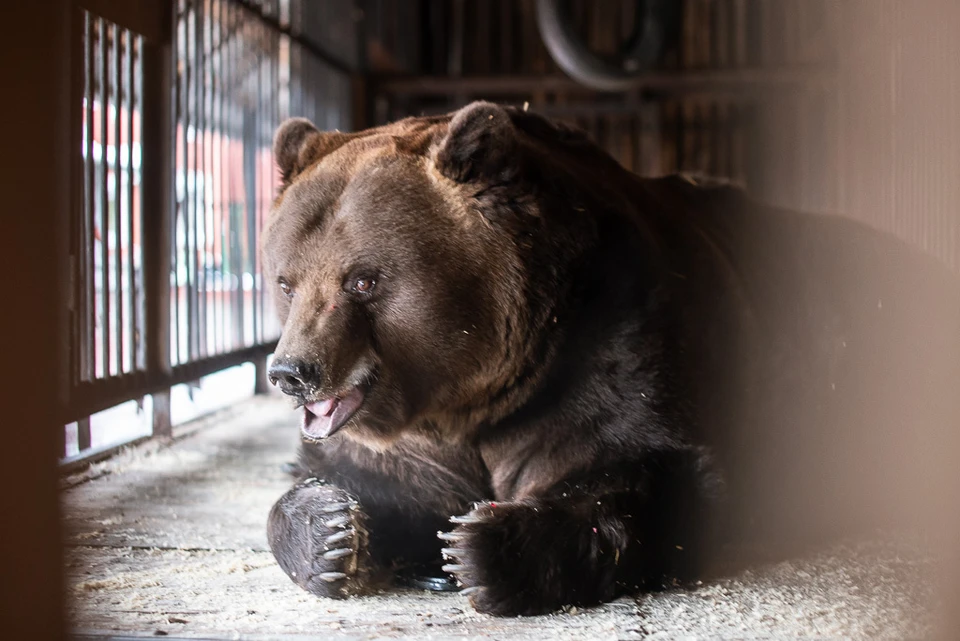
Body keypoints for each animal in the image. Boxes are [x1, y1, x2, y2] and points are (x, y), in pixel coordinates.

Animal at [260, 101, 960, 616]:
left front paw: (480, 547)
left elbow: (636, 474)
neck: (478, 394)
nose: (292, 372)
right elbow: (363, 478)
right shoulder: (418, 438)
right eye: (287, 280)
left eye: (363, 280)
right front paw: (331, 532)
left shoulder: (611, 347)